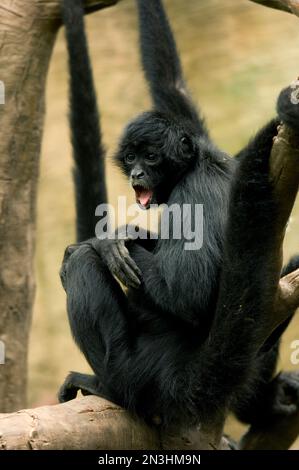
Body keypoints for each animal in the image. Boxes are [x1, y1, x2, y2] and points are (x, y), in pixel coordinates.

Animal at [59, 0, 299, 430]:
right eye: (132, 158)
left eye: (152, 157)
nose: (137, 174)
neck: (197, 163)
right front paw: (129, 234)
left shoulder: (192, 195)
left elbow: (187, 295)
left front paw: (109, 239)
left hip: (136, 365)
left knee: (82, 263)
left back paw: (110, 388)